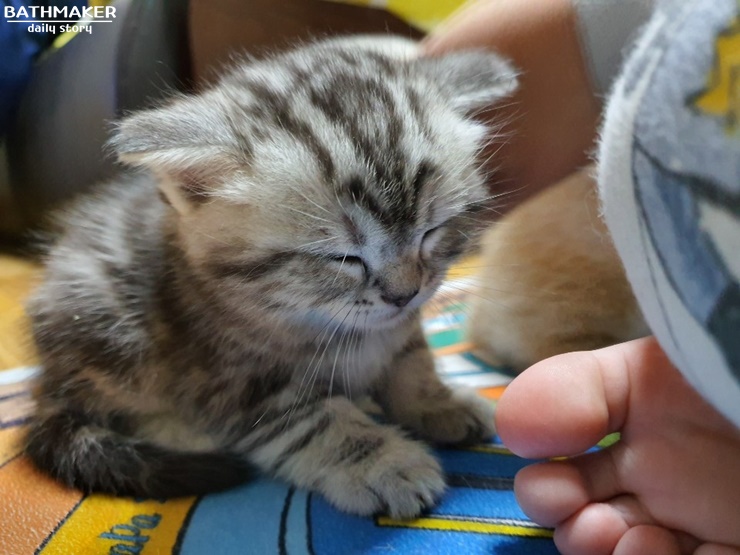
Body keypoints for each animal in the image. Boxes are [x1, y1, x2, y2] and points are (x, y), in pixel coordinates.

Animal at [26, 37, 516, 520]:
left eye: (432, 232)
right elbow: (316, 421)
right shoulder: (232, 385)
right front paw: (383, 462)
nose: (405, 295)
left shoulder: (399, 329)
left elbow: (412, 361)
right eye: (343, 257)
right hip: (106, 330)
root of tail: (48, 382)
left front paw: (439, 400)